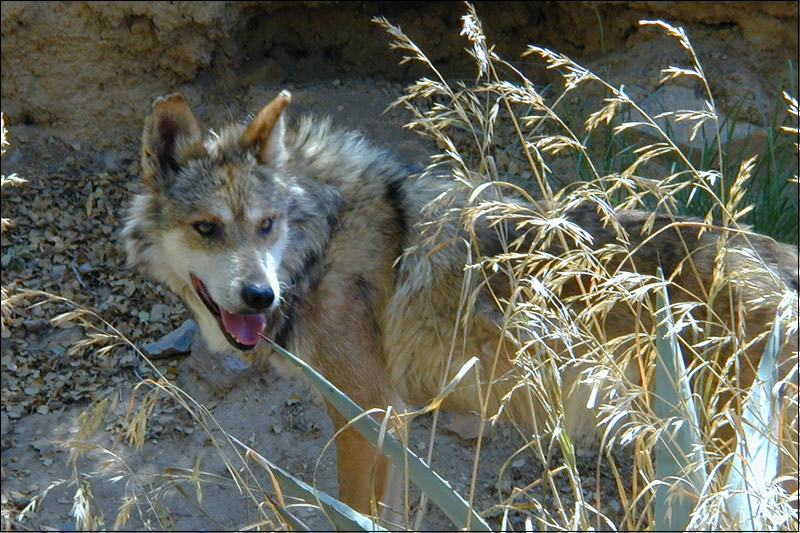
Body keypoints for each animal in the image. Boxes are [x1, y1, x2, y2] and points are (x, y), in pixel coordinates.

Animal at [122, 90, 796, 520]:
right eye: (207, 229)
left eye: (265, 225)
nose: (260, 296)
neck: (321, 244)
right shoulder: (390, 415)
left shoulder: (363, 413)